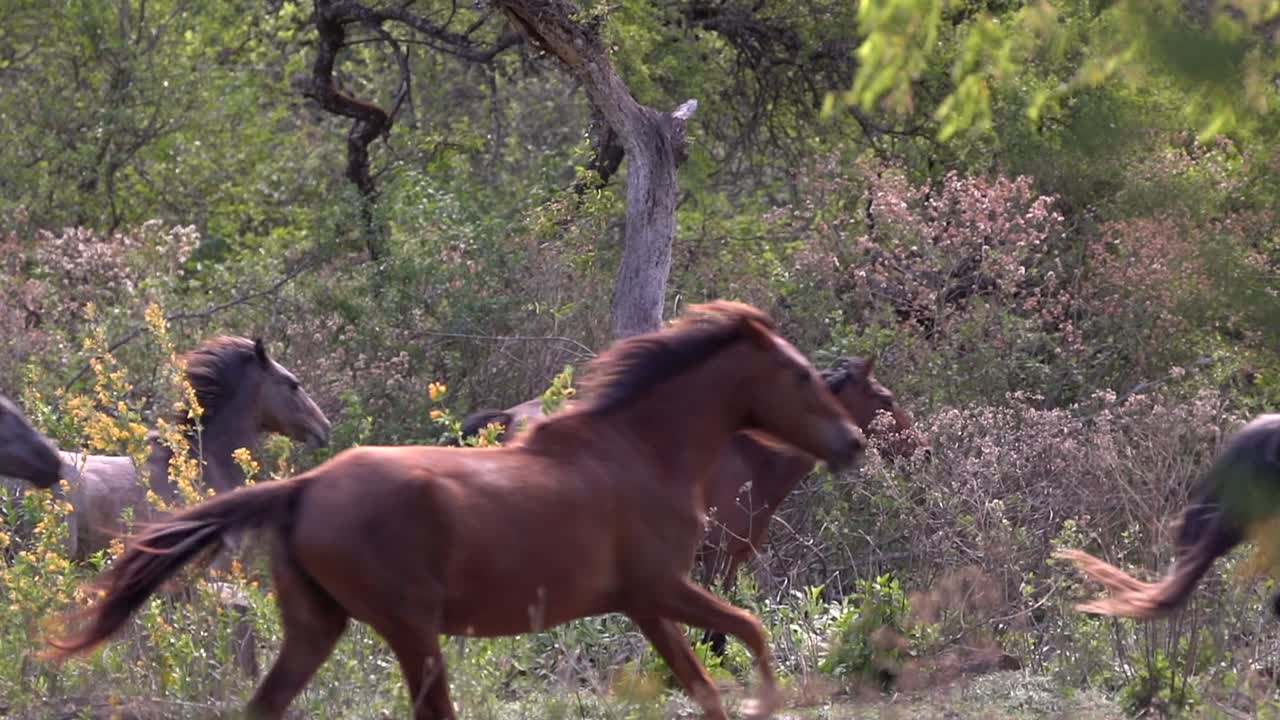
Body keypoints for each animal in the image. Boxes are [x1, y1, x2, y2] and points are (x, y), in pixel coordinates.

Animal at [46, 301, 865, 720]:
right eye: (800, 376)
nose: (853, 441)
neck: (640, 448)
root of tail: (305, 487)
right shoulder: (665, 586)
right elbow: (749, 633)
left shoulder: (647, 603)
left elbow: (708, 679)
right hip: (410, 629)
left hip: (319, 628)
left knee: (266, 705)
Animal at [461, 357, 921, 655]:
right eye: (886, 399)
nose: (922, 449)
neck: (750, 455)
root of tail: (509, 417)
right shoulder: (716, 556)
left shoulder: (731, 558)